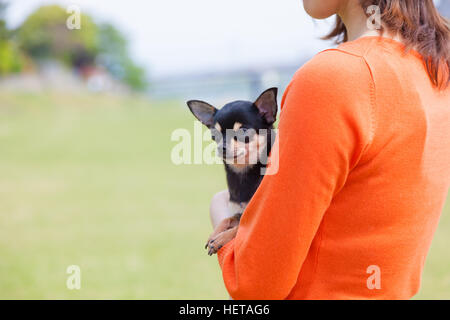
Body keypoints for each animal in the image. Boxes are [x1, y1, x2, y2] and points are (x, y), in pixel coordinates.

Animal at [186, 89, 278, 256]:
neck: (242, 172)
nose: (221, 147)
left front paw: (220, 239)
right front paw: (215, 234)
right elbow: (227, 219)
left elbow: (238, 229)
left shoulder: (252, 219)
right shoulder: (238, 212)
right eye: (214, 134)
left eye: (243, 131)